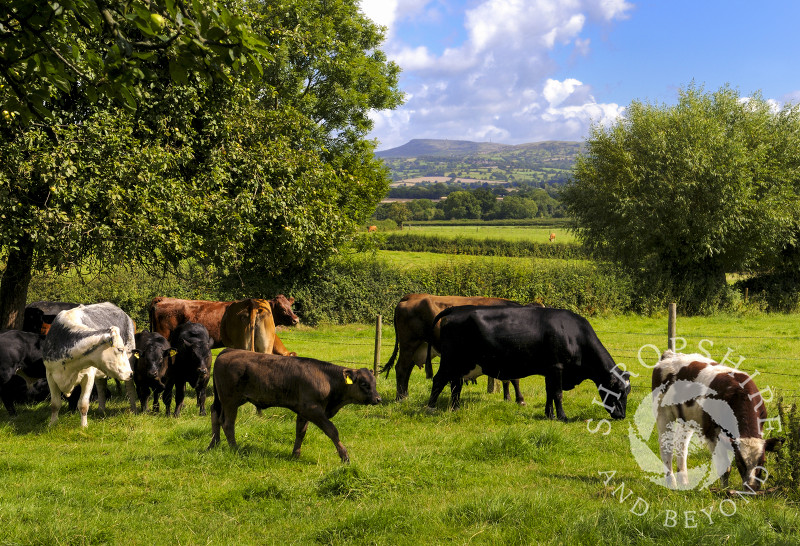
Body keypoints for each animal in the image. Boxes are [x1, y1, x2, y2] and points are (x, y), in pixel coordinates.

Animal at [206, 348, 382, 460]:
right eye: (364, 384)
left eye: (374, 382)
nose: (378, 399)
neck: (326, 378)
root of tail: (228, 351)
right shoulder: (313, 410)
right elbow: (332, 431)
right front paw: (344, 456)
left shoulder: (303, 412)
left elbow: (300, 432)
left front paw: (296, 454)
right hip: (230, 401)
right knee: (227, 423)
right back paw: (235, 448)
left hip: (222, 400)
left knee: (215, 415)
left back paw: (214, 444)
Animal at [380, 294, 524, 400]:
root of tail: (410, 296)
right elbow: (514, 378)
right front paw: (518, 399)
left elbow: (508, 379)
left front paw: (508, 398)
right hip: (409, 344)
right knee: (401, 368)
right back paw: (400, 398)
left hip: (418, 347)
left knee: (408, 369)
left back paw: (405, 395)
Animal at [428, 304, 628, 418]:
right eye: (617, 391)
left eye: (627, 392)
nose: (622, 415)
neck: (573, 334)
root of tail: (456, 309)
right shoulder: (557, 368)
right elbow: (557, 394)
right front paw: (562, 416)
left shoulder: (549, 370)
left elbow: (549, 393)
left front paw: (549, 415)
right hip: (450, 360)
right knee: (438, 381)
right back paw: (430, 408)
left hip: (460, 364)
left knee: (456, 385)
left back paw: (455, 408)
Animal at [648, 348, 780, 488]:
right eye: (740, 462)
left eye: (763, 462)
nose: (752, 487)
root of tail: (670, 355)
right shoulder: (711, 433)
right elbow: (724, 467)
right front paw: (725, 490)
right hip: (662, 413)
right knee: (665, 445)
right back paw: (671, 483)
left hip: (687, 418)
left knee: (681, 443)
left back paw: (683, 481)